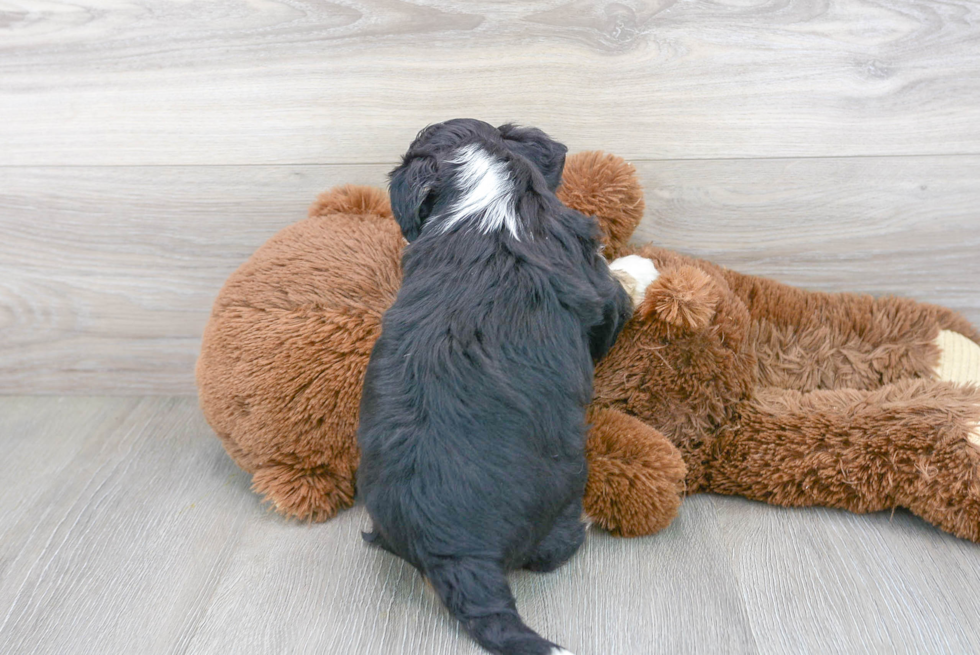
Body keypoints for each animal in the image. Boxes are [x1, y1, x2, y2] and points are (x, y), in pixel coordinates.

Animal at [356, 119, 632, 655]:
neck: (486, 201)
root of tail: (459, 558)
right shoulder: (604, 295)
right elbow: (621, 291)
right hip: (560, 494)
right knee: (553, 551)